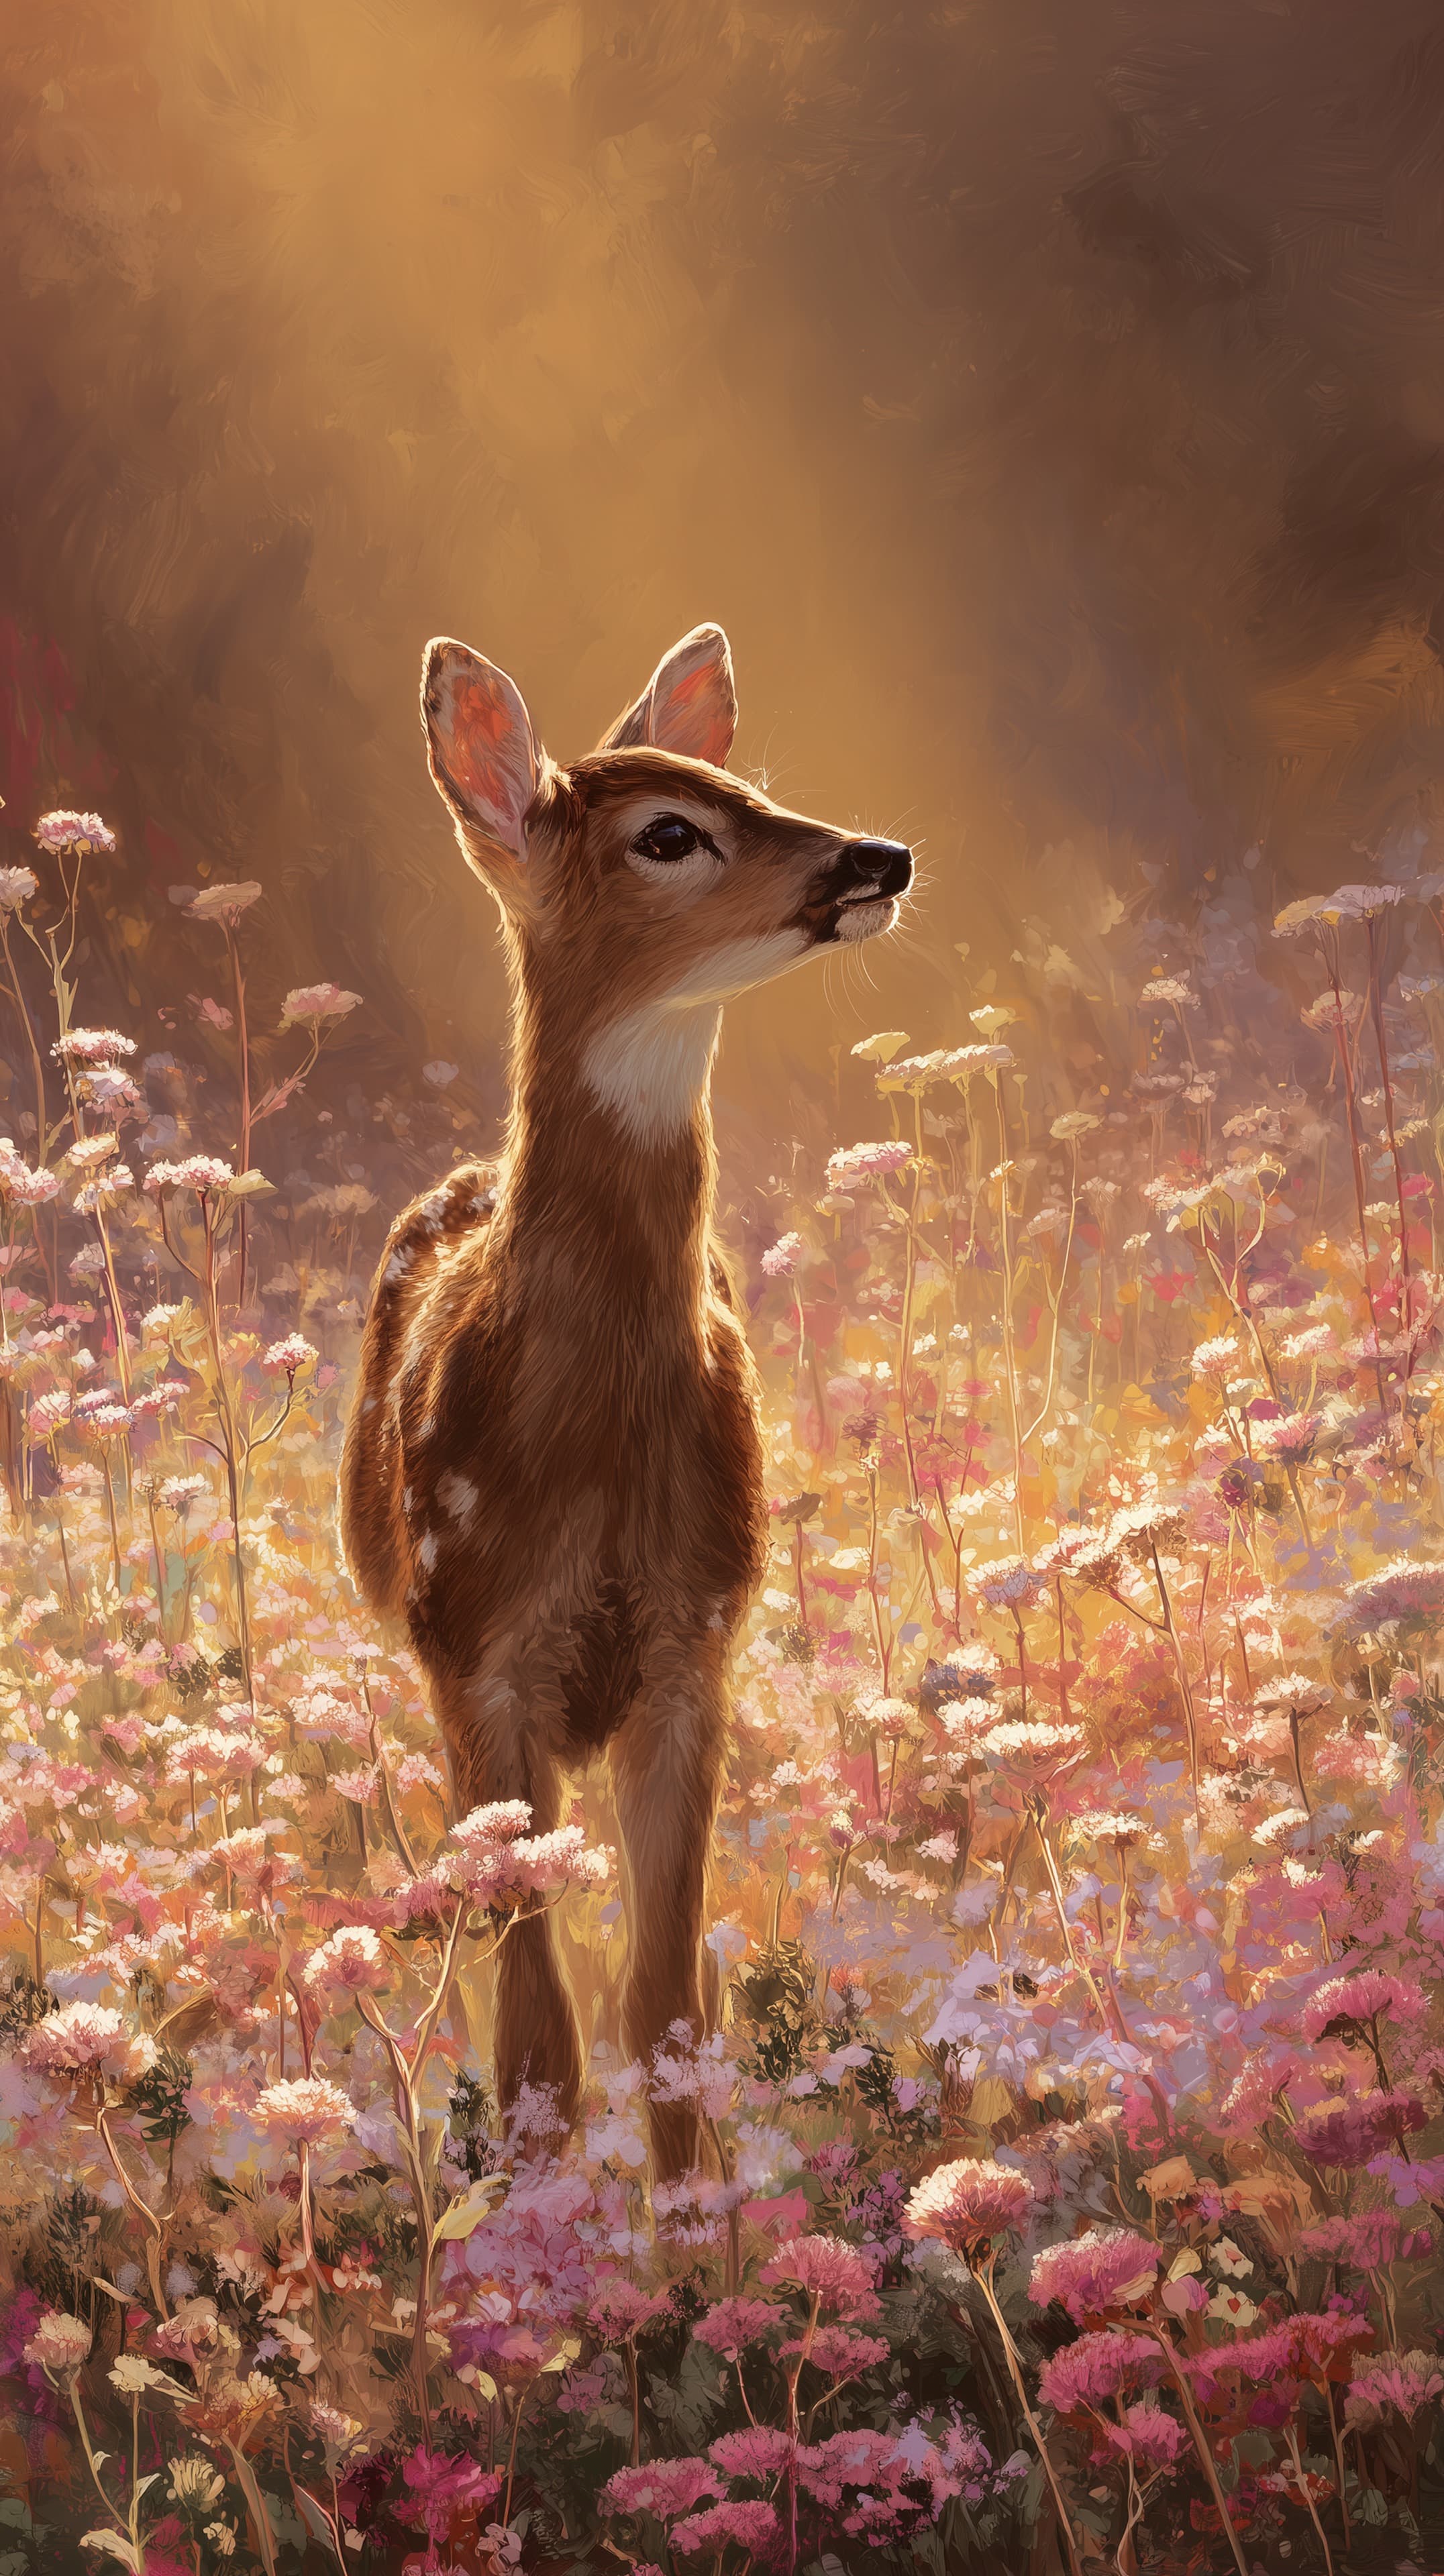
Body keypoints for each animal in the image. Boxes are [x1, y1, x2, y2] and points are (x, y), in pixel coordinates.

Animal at [340, 622, 912, 2174]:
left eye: (741, 784)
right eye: (669, 833)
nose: (880, 855)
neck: (590, 1435)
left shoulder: (689, 1641)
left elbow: (665, 2007)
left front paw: (698, 2228)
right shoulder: (477, 1652)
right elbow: (534, 2028)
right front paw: (554, 2234)